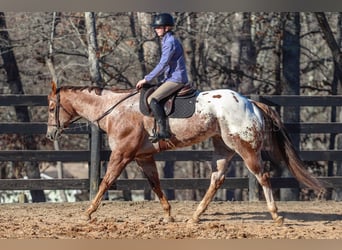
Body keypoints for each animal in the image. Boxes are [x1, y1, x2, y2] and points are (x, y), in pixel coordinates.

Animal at [44, 81, 324, 226]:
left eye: (50, 107)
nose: (50, 134)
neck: (117, 110)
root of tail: (250, 102)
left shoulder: (122, 154)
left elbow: (106, 182)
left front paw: (88, 212)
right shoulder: (143, 157)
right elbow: (155, 184)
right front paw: (168, 214)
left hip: (245, 148)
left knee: (262, 176)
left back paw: (276, 215)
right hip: (222, 148)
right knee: (217, 179)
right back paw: (196, 215)